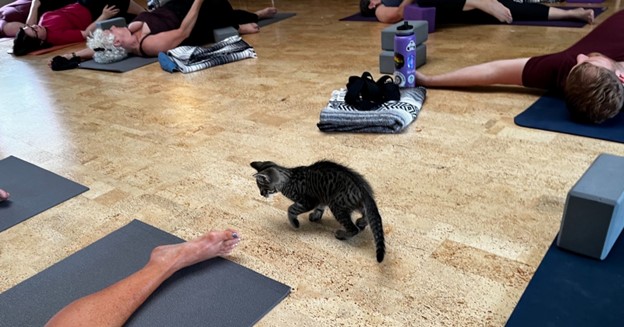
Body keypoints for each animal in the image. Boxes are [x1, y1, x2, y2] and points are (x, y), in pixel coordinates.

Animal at [250, 160, 386, 262]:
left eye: (262, 187)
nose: (261, 194)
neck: (288, 179)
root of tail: (363, 189)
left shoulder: (308, 201)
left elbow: (291, 209)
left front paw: (295, 223)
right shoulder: (321, 196)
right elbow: (320, 207)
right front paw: (316, 216)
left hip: (337, 206)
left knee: (353, 228)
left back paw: (342, 234)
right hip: (353, 205)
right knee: (367, 215)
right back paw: (361, 222)